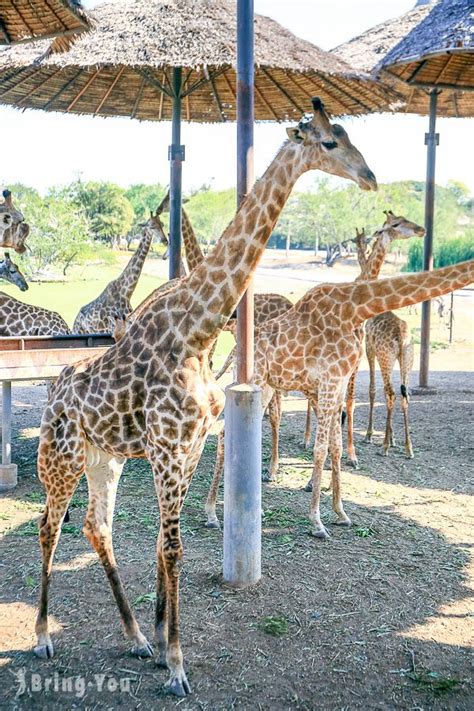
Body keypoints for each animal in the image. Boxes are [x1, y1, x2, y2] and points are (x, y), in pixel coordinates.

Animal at [31, 97, 376, 700]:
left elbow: (162, 545)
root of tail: (52, 397)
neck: (195, 328)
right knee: (51, 527)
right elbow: (173, 547)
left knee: (97, 527)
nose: (371, 177)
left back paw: (133, 637)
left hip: (105, 459)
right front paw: (176, 666)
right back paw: (44, 637)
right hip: (61, 458)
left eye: (347, 133)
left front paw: (159, 637)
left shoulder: (186, 449)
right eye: (330, 142)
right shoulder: (168, 449)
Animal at [205, 258, 474, 536]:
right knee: (225, 433)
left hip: (266, 386)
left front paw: (341, 513)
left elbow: (336, 446)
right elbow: (320, 448)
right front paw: (317, 522)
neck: (356, 309)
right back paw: (212, 513)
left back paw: (244, 511)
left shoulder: (339, 384)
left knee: (229, 432)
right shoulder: (330, 381)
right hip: (257, 378)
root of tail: (236, 349)